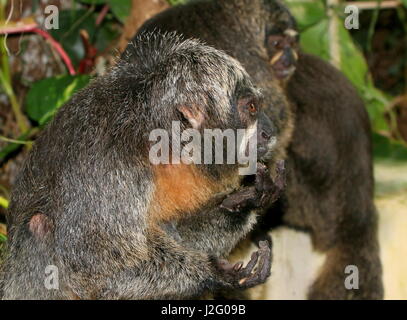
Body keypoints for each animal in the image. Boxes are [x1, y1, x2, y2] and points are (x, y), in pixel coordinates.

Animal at [0, 33, 288, 300]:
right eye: (251, 108)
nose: (269, 131)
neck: (157, 142)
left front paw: (248, 199)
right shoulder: (107, 169)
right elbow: (92, 265)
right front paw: (215, 273)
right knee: (38, 228)